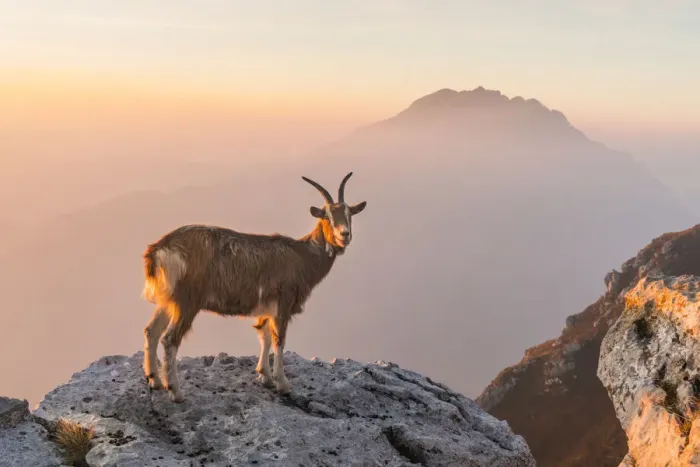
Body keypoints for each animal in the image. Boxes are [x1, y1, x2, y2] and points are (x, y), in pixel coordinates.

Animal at [141, 172, 367, 402]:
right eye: (326, 216)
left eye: (349, 214)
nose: (344, 235)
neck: (302, 256)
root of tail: (158, 249)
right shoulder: (283, 302)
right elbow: (279, 340)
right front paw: (283, 384)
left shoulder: (267, 304)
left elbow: (263, 334)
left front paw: (265, 376)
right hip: (187, 300)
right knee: (170, 339)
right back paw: (175, 391)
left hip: (169, 298)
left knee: (151, 331)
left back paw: (155, 380)